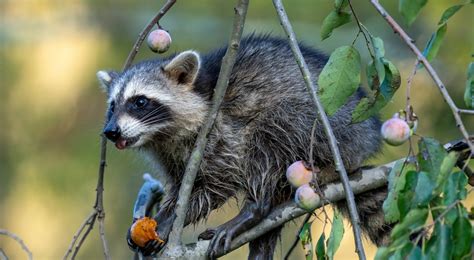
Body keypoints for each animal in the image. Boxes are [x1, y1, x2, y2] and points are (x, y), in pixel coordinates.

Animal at [97, 34, 388, 258]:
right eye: (112, 106)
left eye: (140, 102)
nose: (110, 131)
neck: (162, 135)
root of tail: (367, 138)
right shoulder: (171, 155)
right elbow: (179, 188)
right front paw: (163, 214)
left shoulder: (221, 132)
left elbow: (216, 184)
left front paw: (168, 221)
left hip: (324, 127)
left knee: (270, 135)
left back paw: (254, 209)